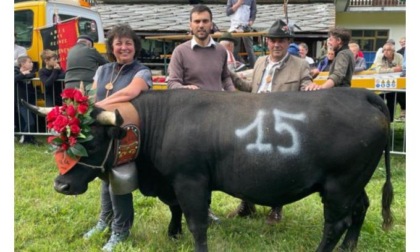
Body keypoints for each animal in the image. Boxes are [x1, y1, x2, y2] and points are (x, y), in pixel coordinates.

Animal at [25, 87, 394, 251]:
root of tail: (360, 93)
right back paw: (350, 247)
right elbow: (175, 209)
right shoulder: (173, 181)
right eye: (60, 138)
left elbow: (197, 223)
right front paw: (172, 234)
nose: (61, 186)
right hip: (356, 182)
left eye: (92, 142)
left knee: (336, 223)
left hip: (340, 184)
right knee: (361, 208)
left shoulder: (191, 180)